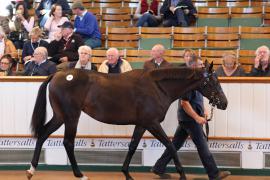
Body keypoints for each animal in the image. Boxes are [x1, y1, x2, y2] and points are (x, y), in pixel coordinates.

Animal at [25, 61, 228, 179]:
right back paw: (79, 174)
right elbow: (170, 145)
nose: (224, 103)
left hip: (60, 116)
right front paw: (182, 174)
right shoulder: (152, 123)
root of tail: (57, 74)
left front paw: (126, 173)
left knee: (43, 134)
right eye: (213, 82)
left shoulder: (142, 124)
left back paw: (31, 170)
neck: (157, 87)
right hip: (71, 116)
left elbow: (132, 146)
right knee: (68, 142)